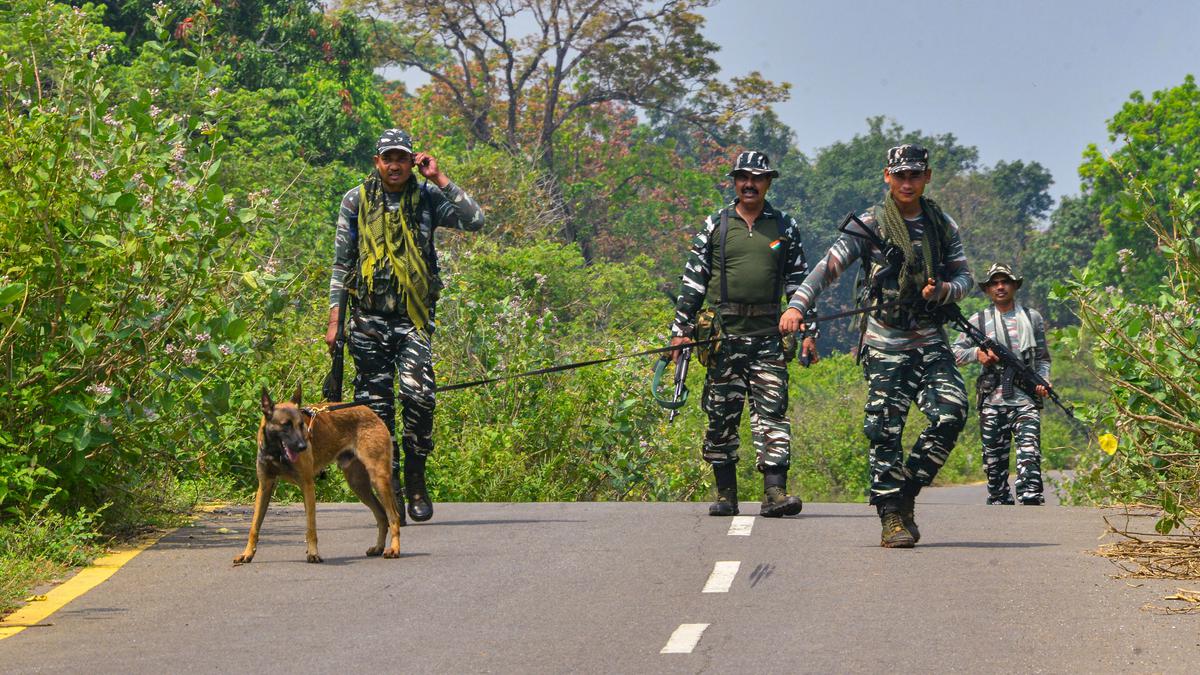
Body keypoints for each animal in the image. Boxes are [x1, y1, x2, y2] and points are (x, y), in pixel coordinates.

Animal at [234, 384, 403, 562]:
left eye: (301, 424)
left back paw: (394, 549)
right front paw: (247, 553)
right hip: (358, 485)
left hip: (378, 479)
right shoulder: (264, 487)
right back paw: (378, 547)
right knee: (382, 516)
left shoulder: (307, 486)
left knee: (393, 516)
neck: (276, 453)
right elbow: (254, 526)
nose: (303, 446)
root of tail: (372, 413)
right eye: (286, 425)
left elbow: (311, 527)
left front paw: (313, 553)